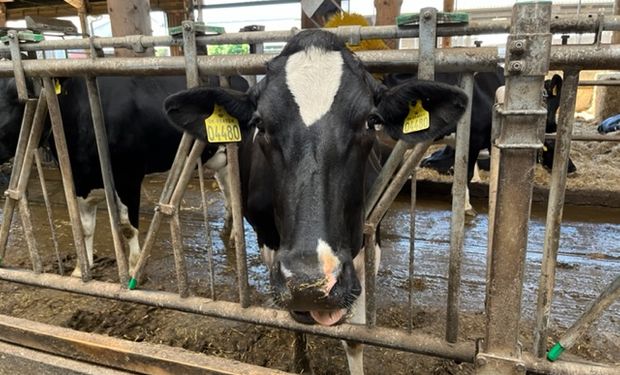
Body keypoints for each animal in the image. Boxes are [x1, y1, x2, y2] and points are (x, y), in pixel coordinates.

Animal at [0, 75, 247, 278]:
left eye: (18, 97)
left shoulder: (128, 177)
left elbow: (128, 228)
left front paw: (134, 268)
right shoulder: (79, 181)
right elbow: (84, 227)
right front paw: (81, 269)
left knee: (235, 194)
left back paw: (234, 236)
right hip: (216, 158)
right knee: (227, 194)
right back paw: (227, 230)